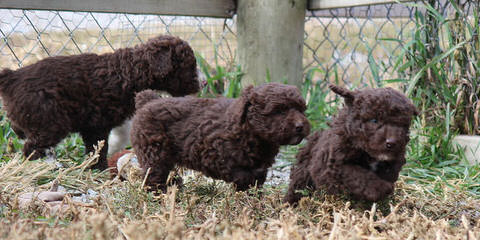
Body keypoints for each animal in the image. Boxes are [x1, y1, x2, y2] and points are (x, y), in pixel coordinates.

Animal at [0, 35, 199, 169]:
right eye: (189, 66)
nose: (202, 84)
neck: (130, 72)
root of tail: (11, 77)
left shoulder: (93, 126)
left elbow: (96, 149)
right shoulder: (98, 124)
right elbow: (100, 149)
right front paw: (100, 168)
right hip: (49, 122)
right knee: (31, 148)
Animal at [131, 82, 312, 191]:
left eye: (301, 109)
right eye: (279, 111)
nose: (300, 126)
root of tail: (148, 101)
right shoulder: (216, 156)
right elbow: (242, 176)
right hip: (154, 151)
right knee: (153, 177)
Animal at [284, 83, 416, 203]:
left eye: (402, 125)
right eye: (374, 120)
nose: (392, 143)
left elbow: (391, 170)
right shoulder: (335, 165)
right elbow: (359, 175)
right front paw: (381, 188)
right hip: (303, 171)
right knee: (298, 185)